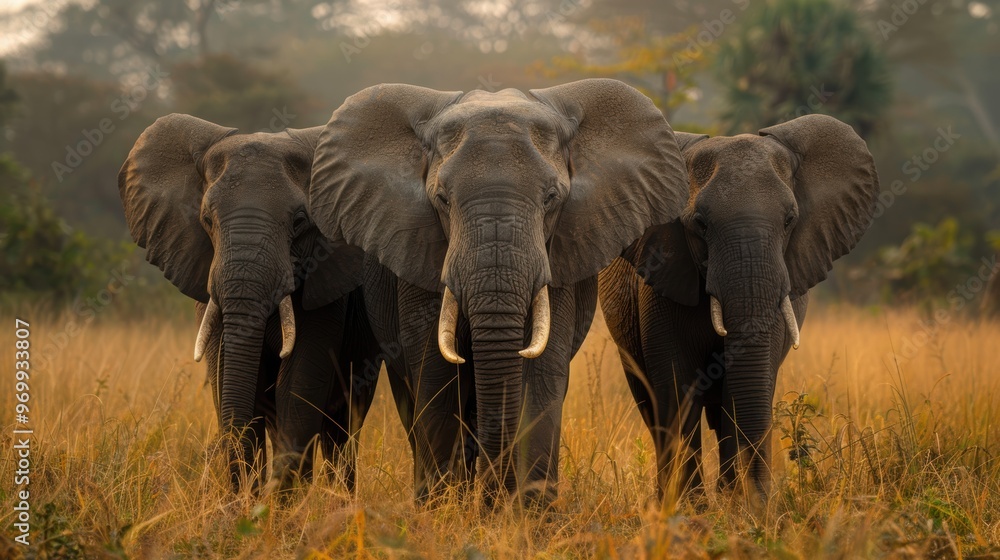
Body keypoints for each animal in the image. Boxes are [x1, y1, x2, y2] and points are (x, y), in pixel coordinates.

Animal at [118, 114, 379, 492]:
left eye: (300, 221)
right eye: (207, 220)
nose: (242, 497)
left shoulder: (328, 288)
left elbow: (296, 386)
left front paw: (279, 504)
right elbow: (229, 381)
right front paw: (252, 502)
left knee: (341, 423)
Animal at [307, 79, 690, 505]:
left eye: (552, 199)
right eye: (442, 200)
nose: (494, 498)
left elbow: (540, 371)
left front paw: (528, 511)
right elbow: (437, 374)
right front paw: (446, 508)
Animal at [599, 114, 880, 500]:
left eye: (790, 220)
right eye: (700, 224)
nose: (761, 500)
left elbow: (745, 385)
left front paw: (740, 504)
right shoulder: (661, 282)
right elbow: (676, 384)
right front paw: (690, 508)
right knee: (651, 404)